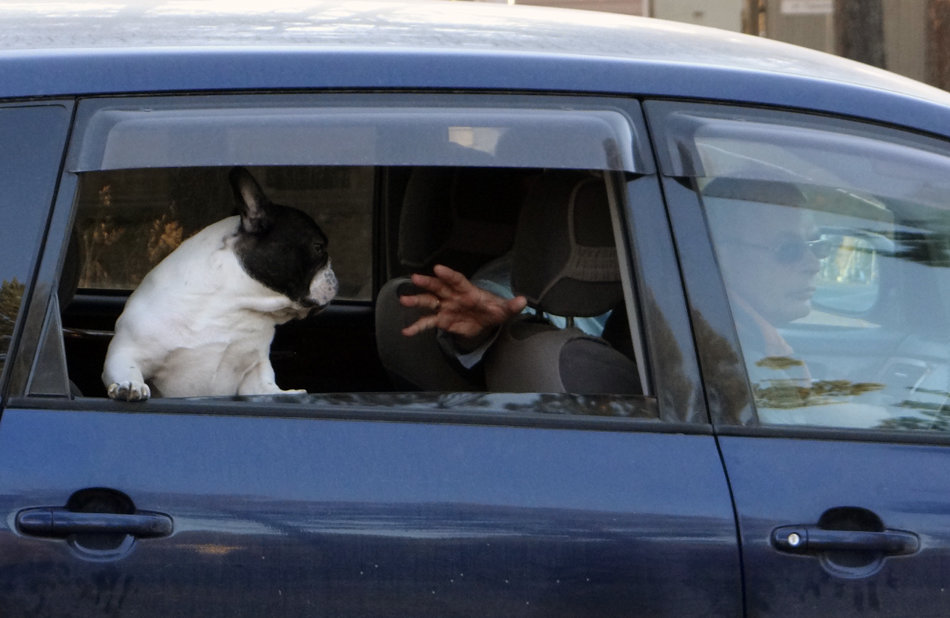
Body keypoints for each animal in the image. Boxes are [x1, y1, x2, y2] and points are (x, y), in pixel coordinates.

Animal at [100, 167, 336, 400]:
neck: (232, 304)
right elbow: (127, 367)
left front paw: (285, 393)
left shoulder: (254, 369)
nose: (333, 275)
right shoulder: (127, 351)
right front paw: (130, 385)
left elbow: (266, 386)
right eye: (318, 248)